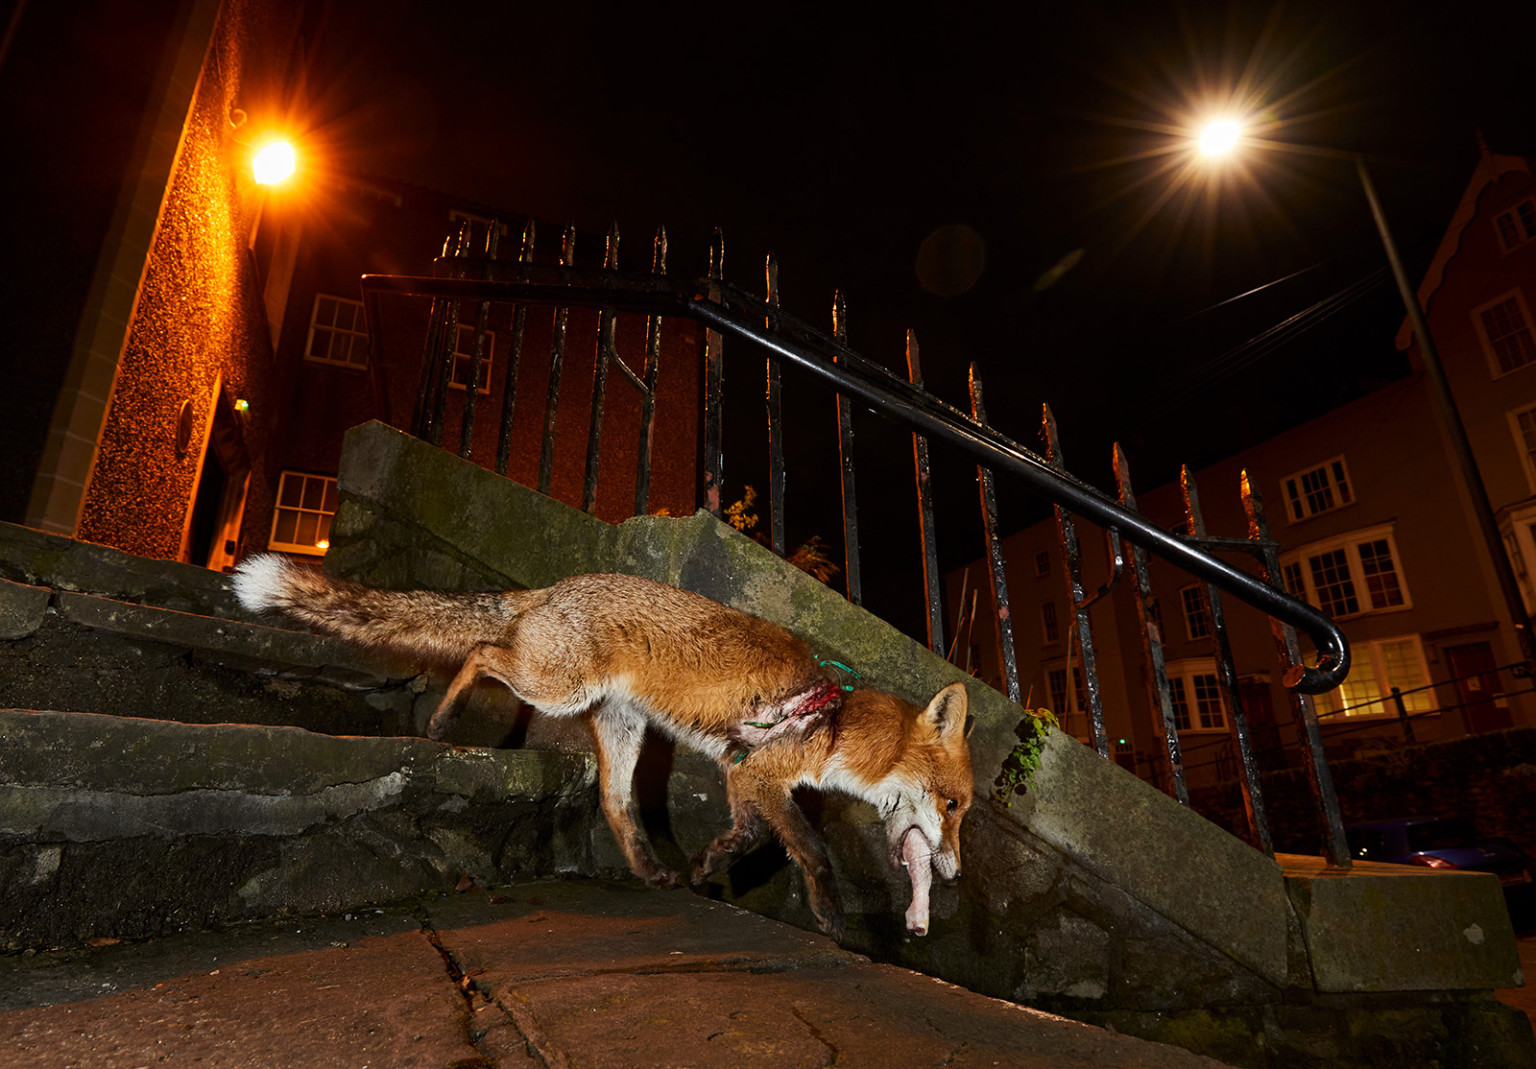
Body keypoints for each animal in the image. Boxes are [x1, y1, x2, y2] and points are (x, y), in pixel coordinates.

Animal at [227, 556, 970, 939]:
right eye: (956, 805)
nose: (958, 876)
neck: (833, 724)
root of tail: (550, 587)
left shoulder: (741, 775)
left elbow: (750, 836)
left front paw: (706, 864)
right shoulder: (762, 773)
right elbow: (810, 849)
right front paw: (829, 912)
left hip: (619, 727)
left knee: (616, 804)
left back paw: (649, 870)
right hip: (557, 687)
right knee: (481, 649)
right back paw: (443, 719)